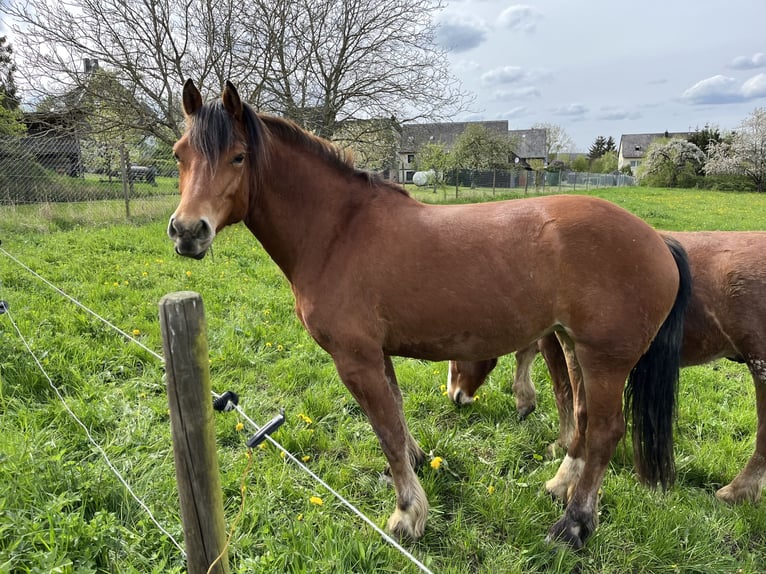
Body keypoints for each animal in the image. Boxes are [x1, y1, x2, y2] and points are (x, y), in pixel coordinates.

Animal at [167, 79, 692, 548]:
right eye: (179, 154)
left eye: (238, 156)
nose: (187, 231)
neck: (338, 232)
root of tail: (658, 241)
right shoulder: (377, 354)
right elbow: (397, 418)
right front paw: (416, 470)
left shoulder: (355, 359)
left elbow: (384, 429)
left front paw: (406, 514)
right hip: (572, 345)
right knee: (582, 419)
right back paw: (560, 487)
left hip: (605, 360)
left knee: (605, 432)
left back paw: (574, 525)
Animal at [448, 231, 766, 506]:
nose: (455, 396)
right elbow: (527, 356)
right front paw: (526, 402)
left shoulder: (557, 341)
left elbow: (562, 390)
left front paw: (560, 442)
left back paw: (737, 492)